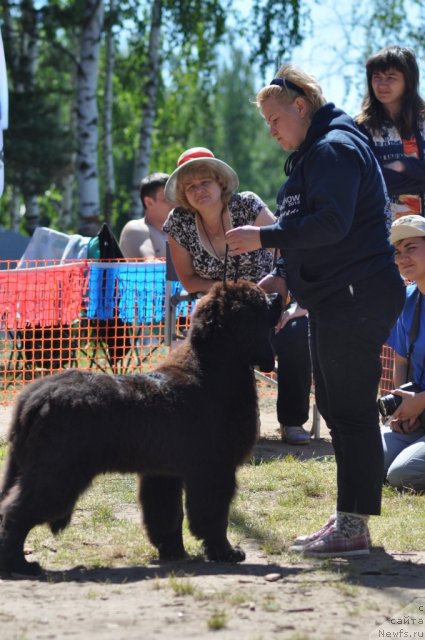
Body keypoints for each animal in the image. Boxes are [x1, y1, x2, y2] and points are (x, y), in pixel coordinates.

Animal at [0, 282, 280, 576]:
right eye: (261, 302)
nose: (278, 295)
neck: (212, 368)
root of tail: (36, 396)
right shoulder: (215, 468)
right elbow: (213, 515)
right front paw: (225, 552)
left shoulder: (164, 472)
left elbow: (166, 515)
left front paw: (173, 552)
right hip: (57, 472)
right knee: (16, 512)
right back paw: (18, 564)